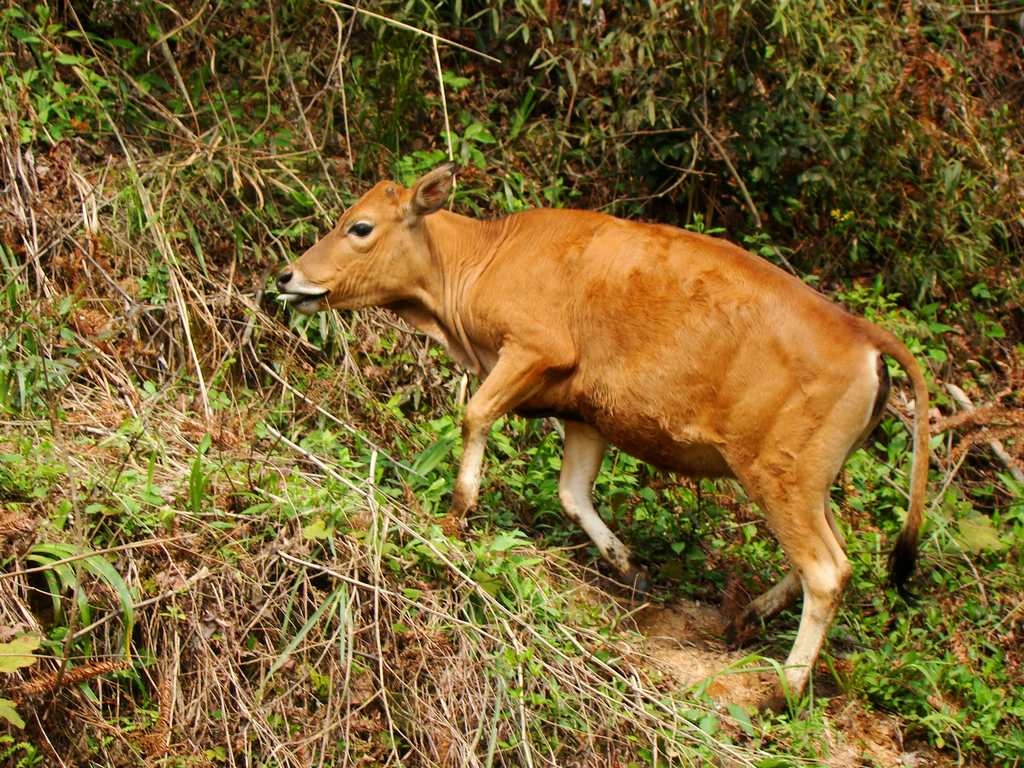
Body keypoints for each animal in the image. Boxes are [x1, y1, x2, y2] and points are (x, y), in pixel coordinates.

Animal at [278, 163, 929, 704]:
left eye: (360, 227)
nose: (287, 276)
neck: (481, 258)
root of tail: (864, 333)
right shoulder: (584, 414)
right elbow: (572, 494)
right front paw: (627, 565)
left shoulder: (534, 350)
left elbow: (475, 416)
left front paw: (458, 512)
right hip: (808, 480)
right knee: (831, 553)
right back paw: (747, 617)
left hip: (780, 474)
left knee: (827, 570)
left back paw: (784, 690)